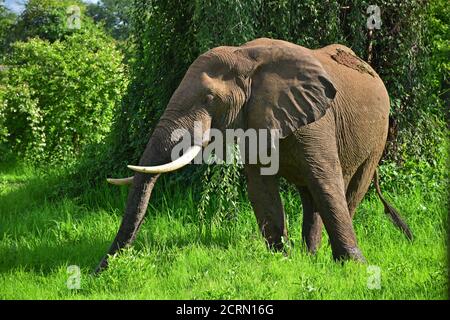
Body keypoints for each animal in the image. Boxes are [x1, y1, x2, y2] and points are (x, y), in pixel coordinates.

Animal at [96, 37, 414, 272]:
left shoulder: (317, 122)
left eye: (209, 99)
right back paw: (310, 257)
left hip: (378, 135)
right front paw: (282, 262)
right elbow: (261, 188)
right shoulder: (254, 117)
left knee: (349, 188)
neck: (246, 56)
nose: (98, 271)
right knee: (309, 193)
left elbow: (326, 182)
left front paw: (353, 269)